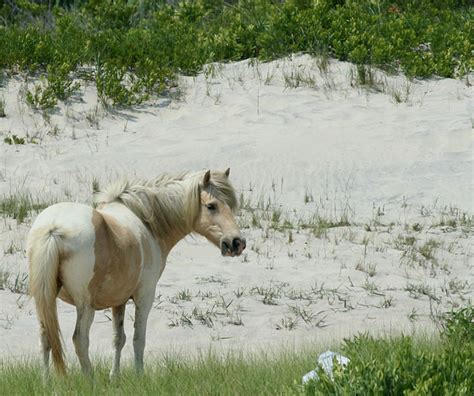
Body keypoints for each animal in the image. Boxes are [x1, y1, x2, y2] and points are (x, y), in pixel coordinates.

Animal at [27, 169, 246, 378]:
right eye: (211, 206)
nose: (237, 242)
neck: (146, 222)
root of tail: (54, 228)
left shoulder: (119, 301)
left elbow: (118, 339)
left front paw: (114, 377)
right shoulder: (145, 296)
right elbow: (138, 339)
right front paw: (139, 376)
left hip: (45, 299)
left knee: (45, 337)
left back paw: (47, 383)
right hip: (85, 306)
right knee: (80, 340)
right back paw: (91, 382)